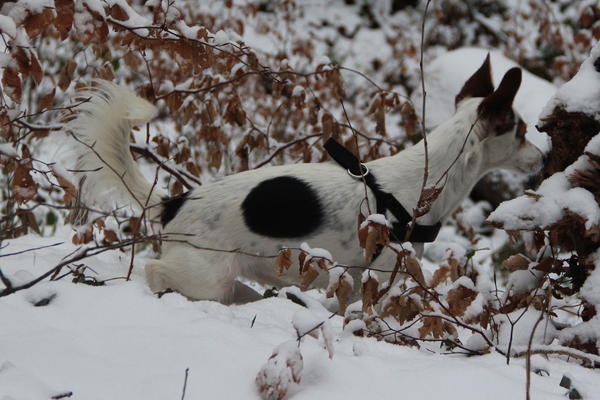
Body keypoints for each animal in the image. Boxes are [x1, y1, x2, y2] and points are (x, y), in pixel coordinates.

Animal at [67, 56, 544, 304]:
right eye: (520, 131)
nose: (543, 157)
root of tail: (173, 202)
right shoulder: (376, 278)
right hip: (208, 276)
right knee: (156, 271)